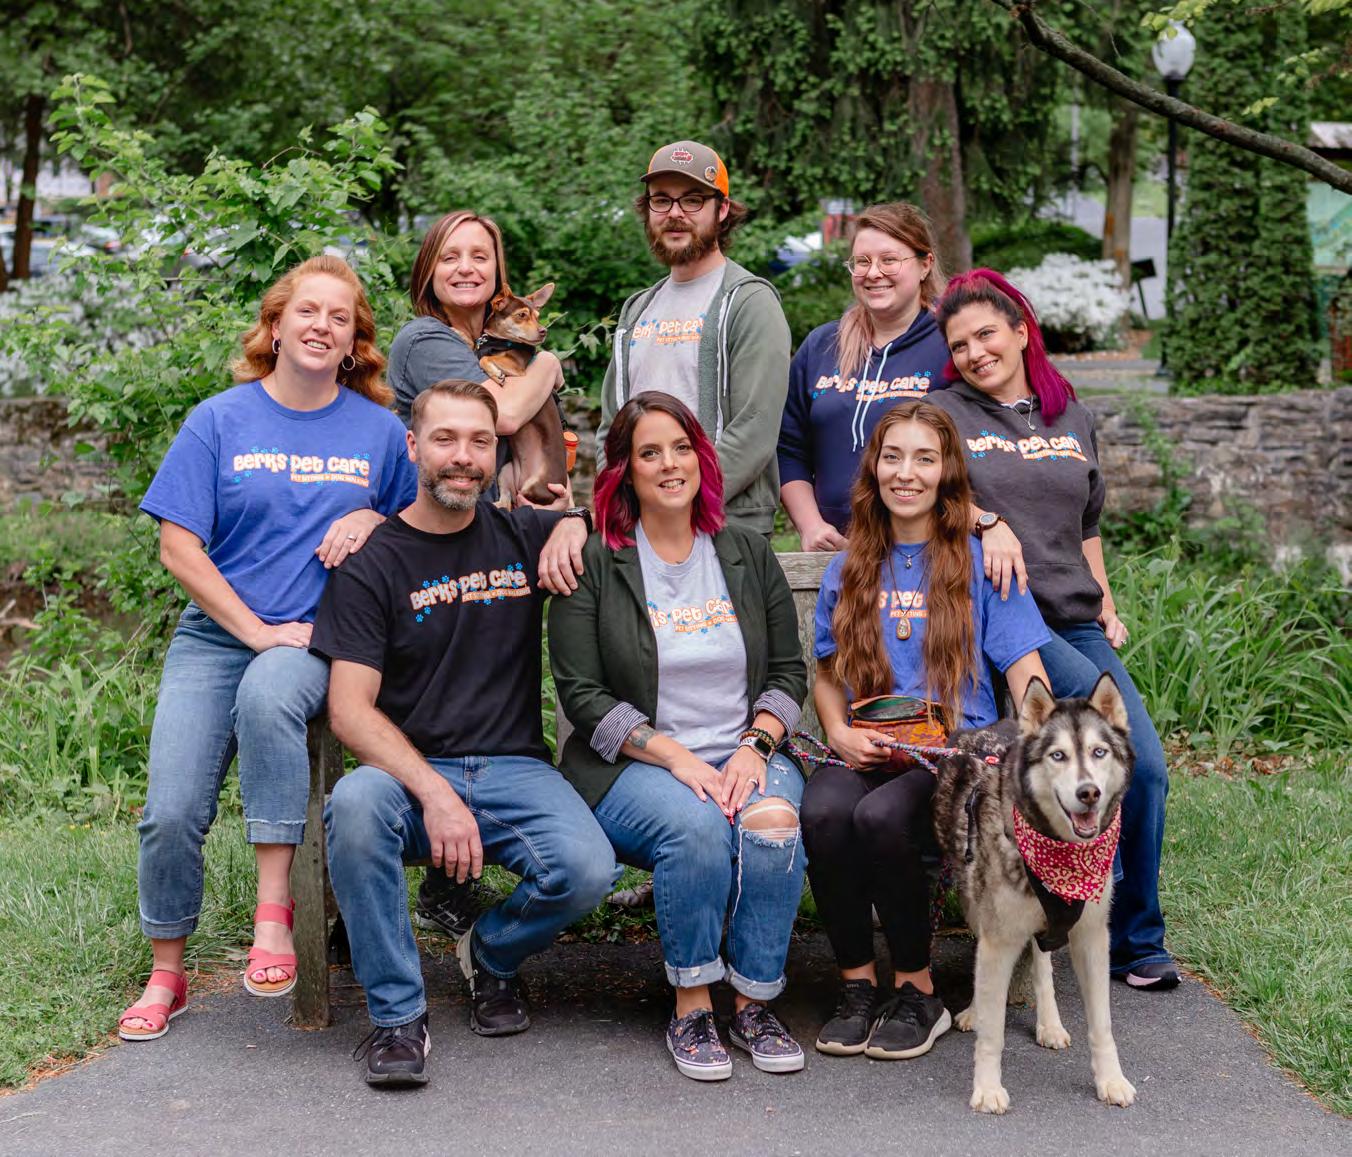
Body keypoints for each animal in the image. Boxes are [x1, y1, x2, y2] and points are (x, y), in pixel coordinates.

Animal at [476, 282, 569, 507]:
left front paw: (496, 373)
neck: (498, 341)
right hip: (505, 471)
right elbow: (484, 357)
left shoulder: (517, 369)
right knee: (505, 501)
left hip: (531, 487)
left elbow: (486, 359)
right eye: (522, 315)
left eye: (537, 315)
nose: (543, 331)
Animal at [933, 673, 1137, 1114]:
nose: (1089, 792)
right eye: (1058, 756)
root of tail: (1003, 723)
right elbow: (992, 1033)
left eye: (1099, 752)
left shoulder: (1092, 937)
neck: (1062, 854)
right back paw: (974, 1010)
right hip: (975, 901)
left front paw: (1111, 1080)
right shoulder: (998, 939)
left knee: (1042, 962)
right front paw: (987, 1088)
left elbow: (1102, 1025)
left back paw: (1050, 1023)